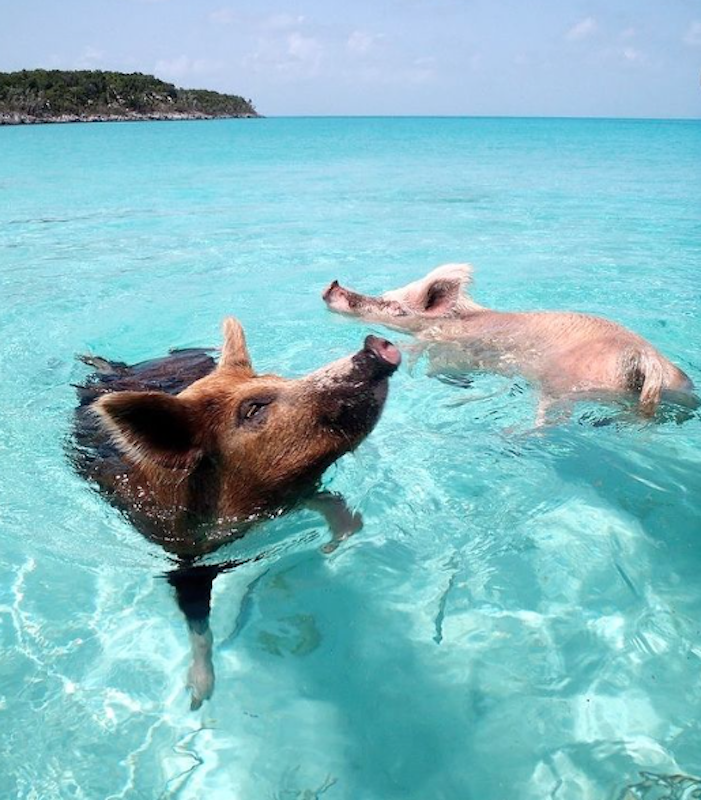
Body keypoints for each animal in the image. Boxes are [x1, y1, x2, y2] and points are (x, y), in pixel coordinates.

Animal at [70, 318, 400, 709]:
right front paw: (199, 698)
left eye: (278, 378)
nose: (376, 345)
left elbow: (332, 504)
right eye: (254, 408)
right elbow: (198, 625)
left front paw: (334, 545)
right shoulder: (184, 560)